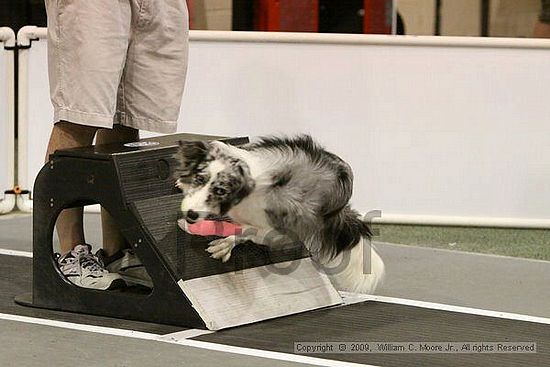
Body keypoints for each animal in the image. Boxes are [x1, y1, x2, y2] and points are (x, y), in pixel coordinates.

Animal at [175, 135, 386, 294]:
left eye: (221, 191)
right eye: (199, 179)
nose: (191, 215)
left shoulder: (273, 230)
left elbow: (245, 232)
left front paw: (224, 243)